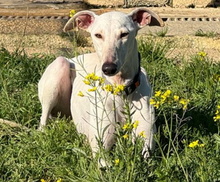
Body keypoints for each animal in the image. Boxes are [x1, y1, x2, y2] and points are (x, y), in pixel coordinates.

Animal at [38, 8, 164, 159]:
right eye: (98, 35)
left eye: (124, 34)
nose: (109, 68)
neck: (120, 89)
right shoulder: (101, 149)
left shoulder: (146, 147)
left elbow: (144, 155)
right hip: (59, 67)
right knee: (43, 120)